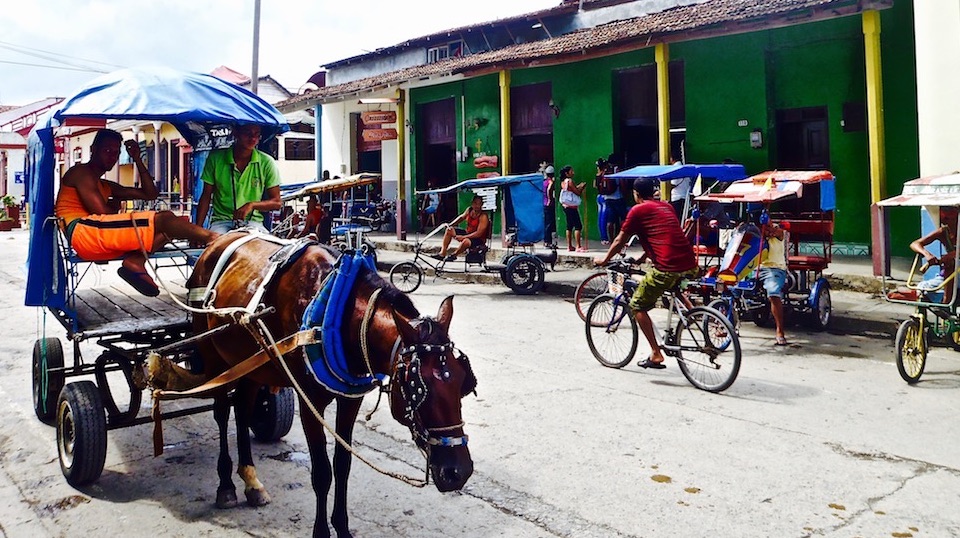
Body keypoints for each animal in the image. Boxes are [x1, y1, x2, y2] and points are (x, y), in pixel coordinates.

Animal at [154, 231, 476, 536]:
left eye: (463, 383)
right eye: (418, 389)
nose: (458, 472)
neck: (337, 312)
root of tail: (215, 242)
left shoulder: (350, 398)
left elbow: (343, 465)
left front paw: (343, 528)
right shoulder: (309, 400)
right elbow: (321, 472)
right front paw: (322, 531)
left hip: (252, 362)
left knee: (243, 409)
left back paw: (251, 482)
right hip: (213, 354)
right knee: (222, 412)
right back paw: (226, 485)